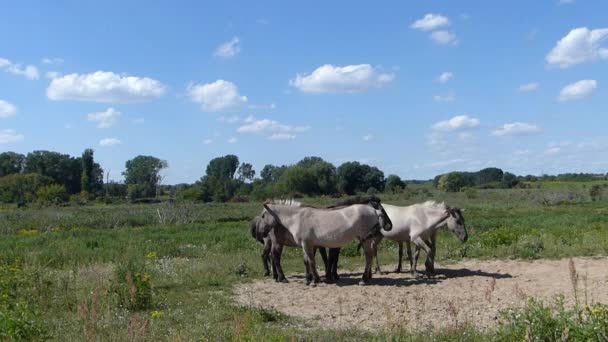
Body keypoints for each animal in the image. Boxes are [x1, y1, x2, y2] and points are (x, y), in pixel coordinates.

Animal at [258, 198, 392, 286]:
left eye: (263, 216)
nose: (261, 233)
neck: (297, 218)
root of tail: (372, 211)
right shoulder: (308, 244)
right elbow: (308, 261)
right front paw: (310, 279)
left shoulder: (307, 244)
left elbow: (311, 261)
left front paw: (314, 281)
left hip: (366, 240)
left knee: (368, 257)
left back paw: (364, 279)